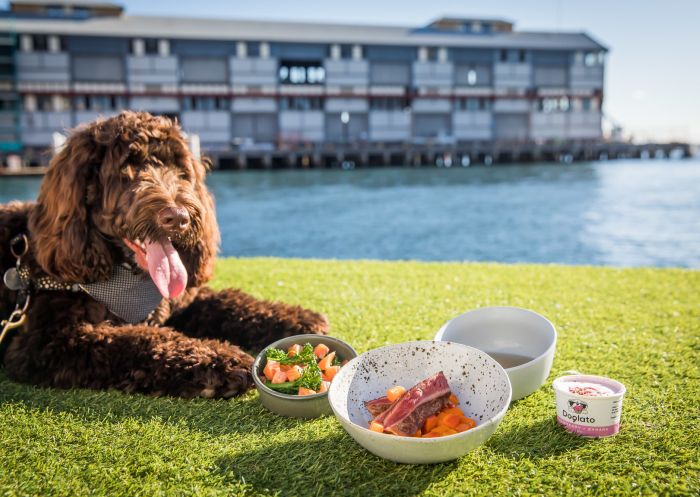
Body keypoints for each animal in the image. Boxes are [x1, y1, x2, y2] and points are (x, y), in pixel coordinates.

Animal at [0, 110, 328, 398]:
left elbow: (230, 302)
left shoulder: (185, 301)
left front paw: (296, 317)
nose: (179, 217)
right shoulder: (50, 340)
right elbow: (137, 340)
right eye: (127, 168)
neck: (128, 280)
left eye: (179, 170)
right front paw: (217, 360)